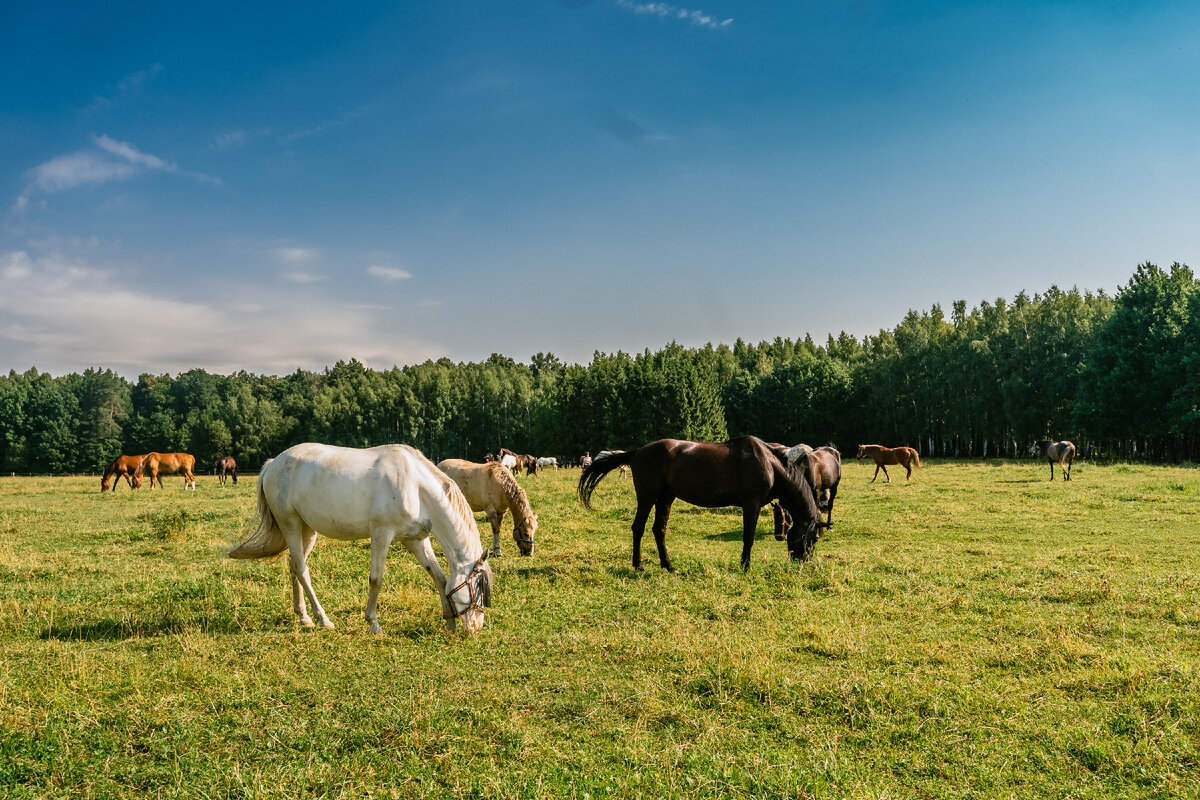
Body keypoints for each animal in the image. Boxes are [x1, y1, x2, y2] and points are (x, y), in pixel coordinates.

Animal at [226, 441, 494, 633]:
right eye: (478, 587)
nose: (475, 628)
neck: (415, 486)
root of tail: (274, 463)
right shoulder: (381, 534)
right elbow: (376, 579)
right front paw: (373, 623)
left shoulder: (416, 539)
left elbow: (438, 577)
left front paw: (449, 621)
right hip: (289, 525)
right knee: (302, 570)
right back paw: (323, 620)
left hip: (306, 530)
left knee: (294, 566)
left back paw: (304, 617)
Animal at [578, 434, 825, 573]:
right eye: (813, 538)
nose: (805, 562)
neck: (769, 463)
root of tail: (639, 451)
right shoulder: (751, 504)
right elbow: (748, 536)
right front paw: (745, 566)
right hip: (647, 497)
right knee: (638, 528)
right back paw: (638, 566)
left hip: (665, 498)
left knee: (659, 530)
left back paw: (668, 565)